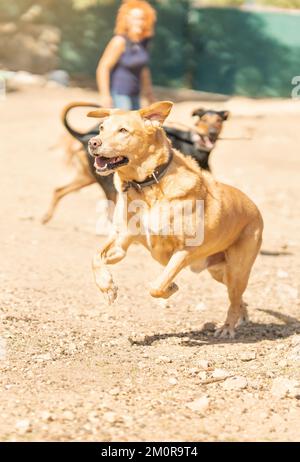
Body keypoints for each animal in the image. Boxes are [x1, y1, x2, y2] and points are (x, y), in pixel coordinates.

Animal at [87, 102, 262, 340]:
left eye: (123, 130)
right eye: (102, 127)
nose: (92, 142)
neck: (148, 185)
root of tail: (255, 208)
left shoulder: (185, 250)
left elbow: (158, 285)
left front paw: (171, 288)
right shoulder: (121, 241)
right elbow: (96, 257)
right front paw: (107, 287)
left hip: (237, 269)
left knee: (234, 297)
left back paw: (227, 327)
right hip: (218, 272)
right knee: (237, 297)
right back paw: (243, 316)